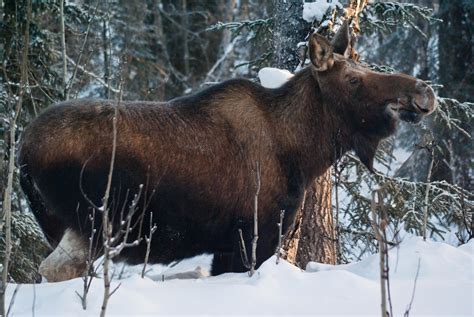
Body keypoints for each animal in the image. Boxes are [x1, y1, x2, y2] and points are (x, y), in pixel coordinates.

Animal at [18, 24, 436, 282]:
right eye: (353, 79)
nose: (423, 91)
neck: (305, 154)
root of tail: (23, 152)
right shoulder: (251, 239)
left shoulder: (226, 248)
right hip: (93, 222)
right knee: (56, 270)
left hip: (65, 226)